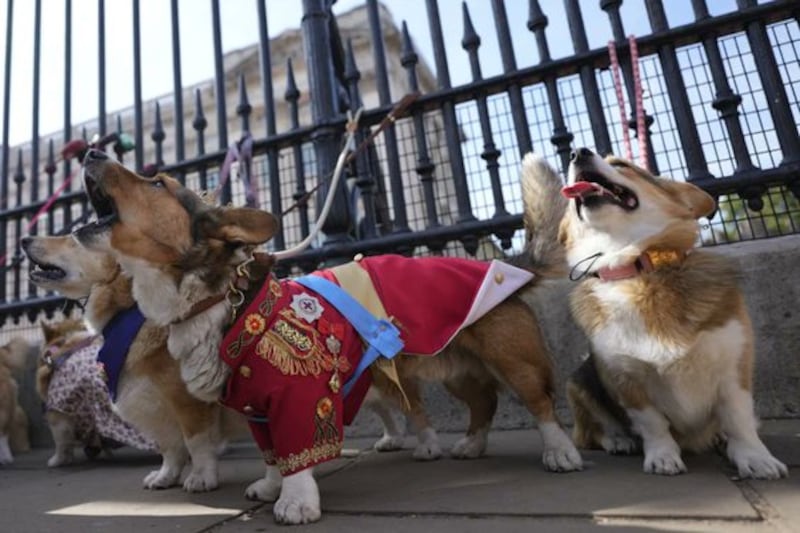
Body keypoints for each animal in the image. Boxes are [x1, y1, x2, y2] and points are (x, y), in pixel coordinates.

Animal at [23, 235, 247, 488]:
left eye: (75, 237)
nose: (24, 240)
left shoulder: (188, 400)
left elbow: (197, 442)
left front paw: (201, 477)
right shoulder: (158, 407)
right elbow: (170, 446)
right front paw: (165, 476)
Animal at [73, 149, 580, 524]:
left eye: (157, 183)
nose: (91, 150)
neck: (220, 299)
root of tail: (507, 264)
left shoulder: (299, 396)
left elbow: (295, 451)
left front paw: (295, 502)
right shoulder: (257, 409)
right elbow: (273, 454)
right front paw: (271, 486)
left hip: (513, 360)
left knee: (539, 403)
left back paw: (560, 453)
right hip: (458, 368)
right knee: (483, 403)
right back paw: (471, 445)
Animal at [524, 148, 788, 480]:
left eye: (621, 164)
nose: (577, 152)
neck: (637, 267)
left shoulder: (734, 367)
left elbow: (738, 418)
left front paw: (755, 458)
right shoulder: (627, 380)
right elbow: (653, 424)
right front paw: (663, 457)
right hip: (580, 382)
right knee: (591, 432)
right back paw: (619, 440)